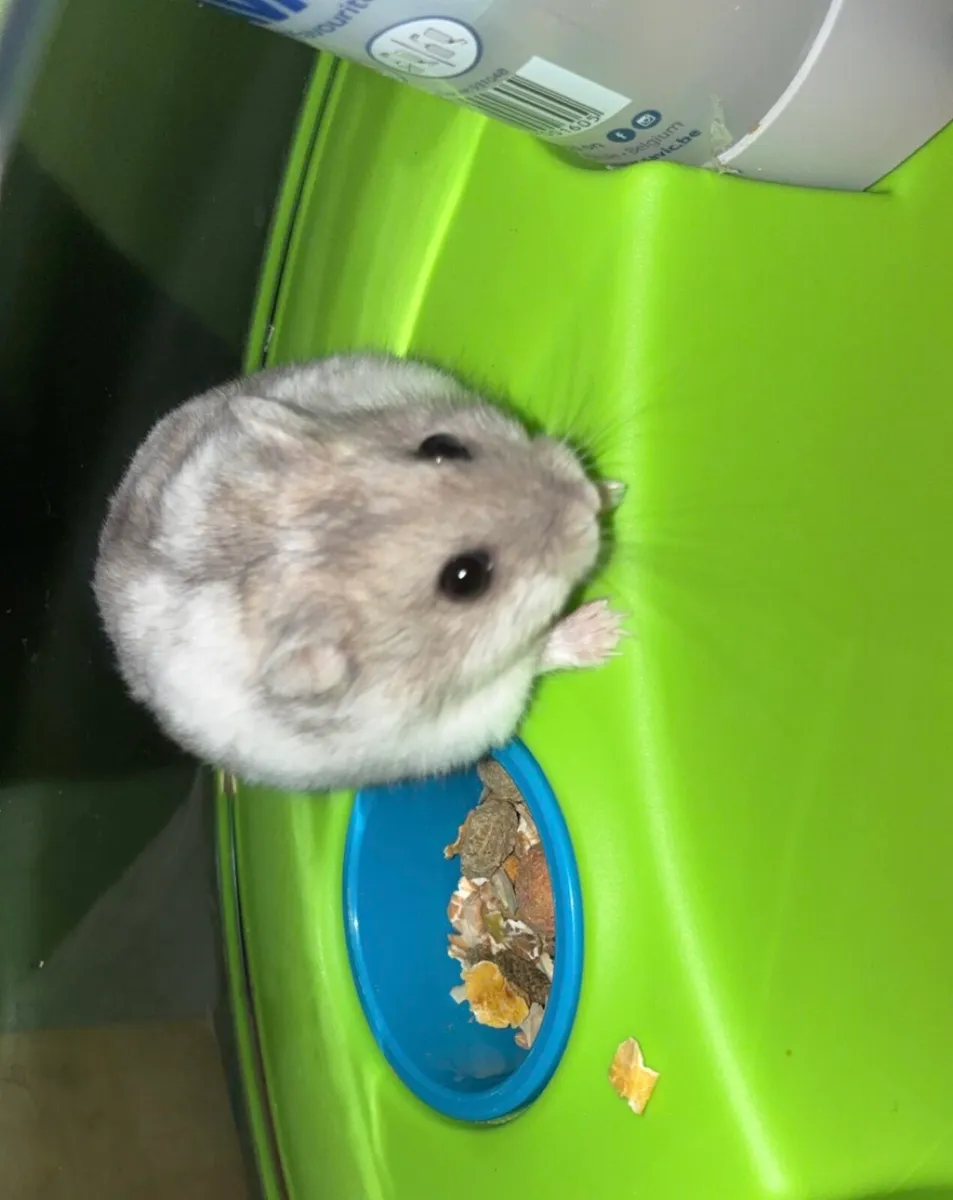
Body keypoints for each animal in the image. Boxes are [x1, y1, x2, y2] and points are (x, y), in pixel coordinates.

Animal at [93, 353, 625, 791]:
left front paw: (613, 489)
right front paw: (610, 627)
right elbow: (540, 653)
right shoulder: (482, 702)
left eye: (442, 445)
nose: (582, 501)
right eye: (465, 578)